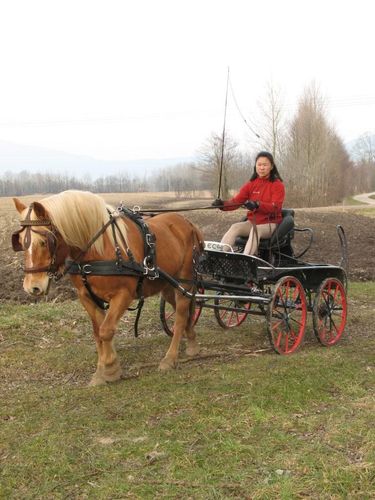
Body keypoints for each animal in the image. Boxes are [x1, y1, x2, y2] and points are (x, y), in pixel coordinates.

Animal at [11, 189, 204, 384]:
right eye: (19, 241)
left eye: (44, 242)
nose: (32, 287)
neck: (98, 249)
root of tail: (188, 223)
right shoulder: (86, 296)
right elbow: (98, 332)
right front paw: (102, 370)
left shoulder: (123, 295)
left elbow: (106, 330)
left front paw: (110, 369)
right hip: (167, 285)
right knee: (184, 311)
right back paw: (192, 340)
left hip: (184, 281)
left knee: (180, 315)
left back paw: (170, 358)